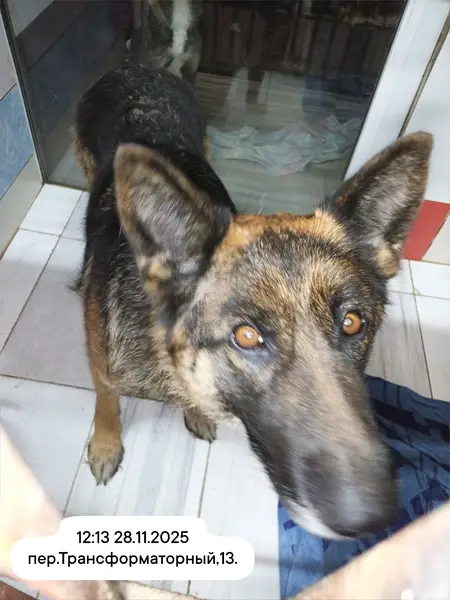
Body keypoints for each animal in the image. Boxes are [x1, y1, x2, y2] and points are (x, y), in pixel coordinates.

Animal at [74, 64, 432, 540]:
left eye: (353, 323)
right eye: (246, 336)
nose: (370, 520)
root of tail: (136, 68)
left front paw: (196, 412)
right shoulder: (101, 361)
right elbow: (106, 400)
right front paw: (106, 444)